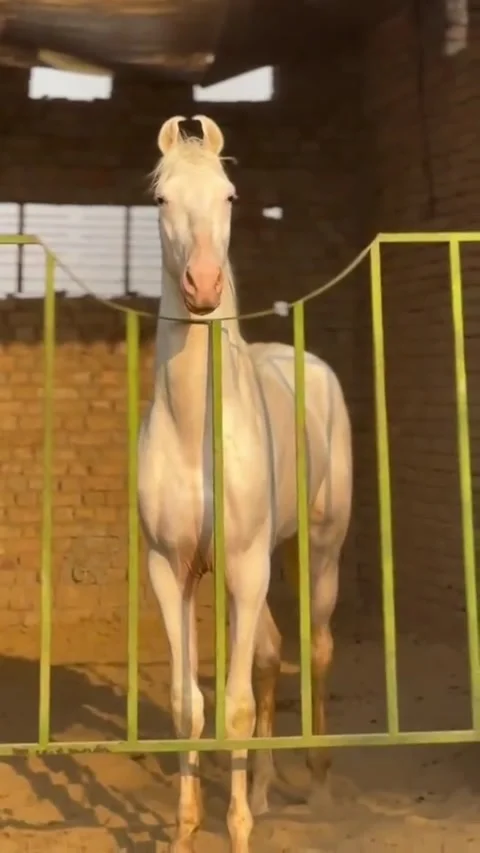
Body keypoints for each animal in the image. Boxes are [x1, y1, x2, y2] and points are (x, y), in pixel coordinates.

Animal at [137, 114, 353, 853]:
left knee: (315, 649)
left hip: (315, 550)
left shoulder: (246, 563)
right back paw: (259, 789)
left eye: (230, 197)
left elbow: (228, 707)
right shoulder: (172, 569)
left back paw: (315, 786)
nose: (203, 285)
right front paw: (186, 829)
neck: (196, 431)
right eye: (161, 199)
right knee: (270, 656)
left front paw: (236, 831)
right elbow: (189, 705)